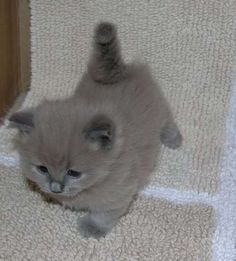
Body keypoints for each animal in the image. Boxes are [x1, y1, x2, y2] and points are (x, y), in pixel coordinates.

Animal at [8, 22, 182, 238]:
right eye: (42, 169)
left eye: (74, 173)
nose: (56, 188)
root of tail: (116, 73)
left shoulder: (119, 192)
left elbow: (104, 213)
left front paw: (93, 228)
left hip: (159, 108)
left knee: (167, 121)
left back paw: (174, 139)